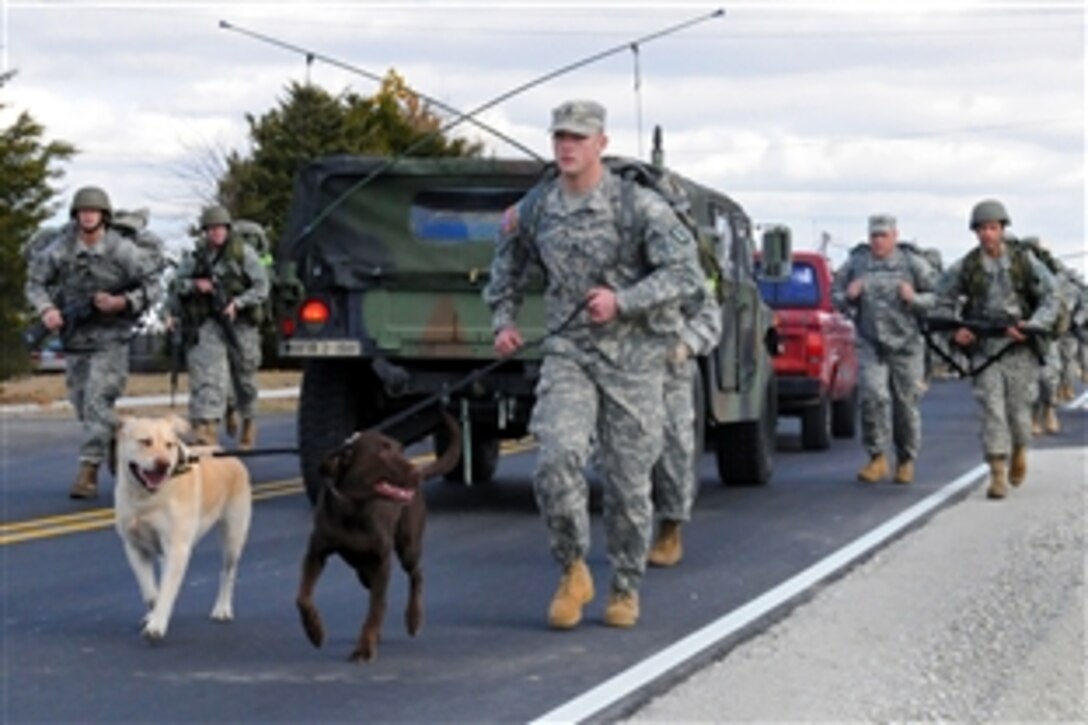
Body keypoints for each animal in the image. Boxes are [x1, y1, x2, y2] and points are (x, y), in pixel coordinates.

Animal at [111, 411, 253, 640]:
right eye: (145, 441)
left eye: (169, 445)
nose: (163, 464)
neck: (146, 499)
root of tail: (227, 454)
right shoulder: (135, 548)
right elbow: (151, 593)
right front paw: (152, 615)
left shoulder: (177, 549)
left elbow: (166, 591)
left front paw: (157, 625)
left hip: (233, 538)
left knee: (227, 573)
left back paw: (222, 609)